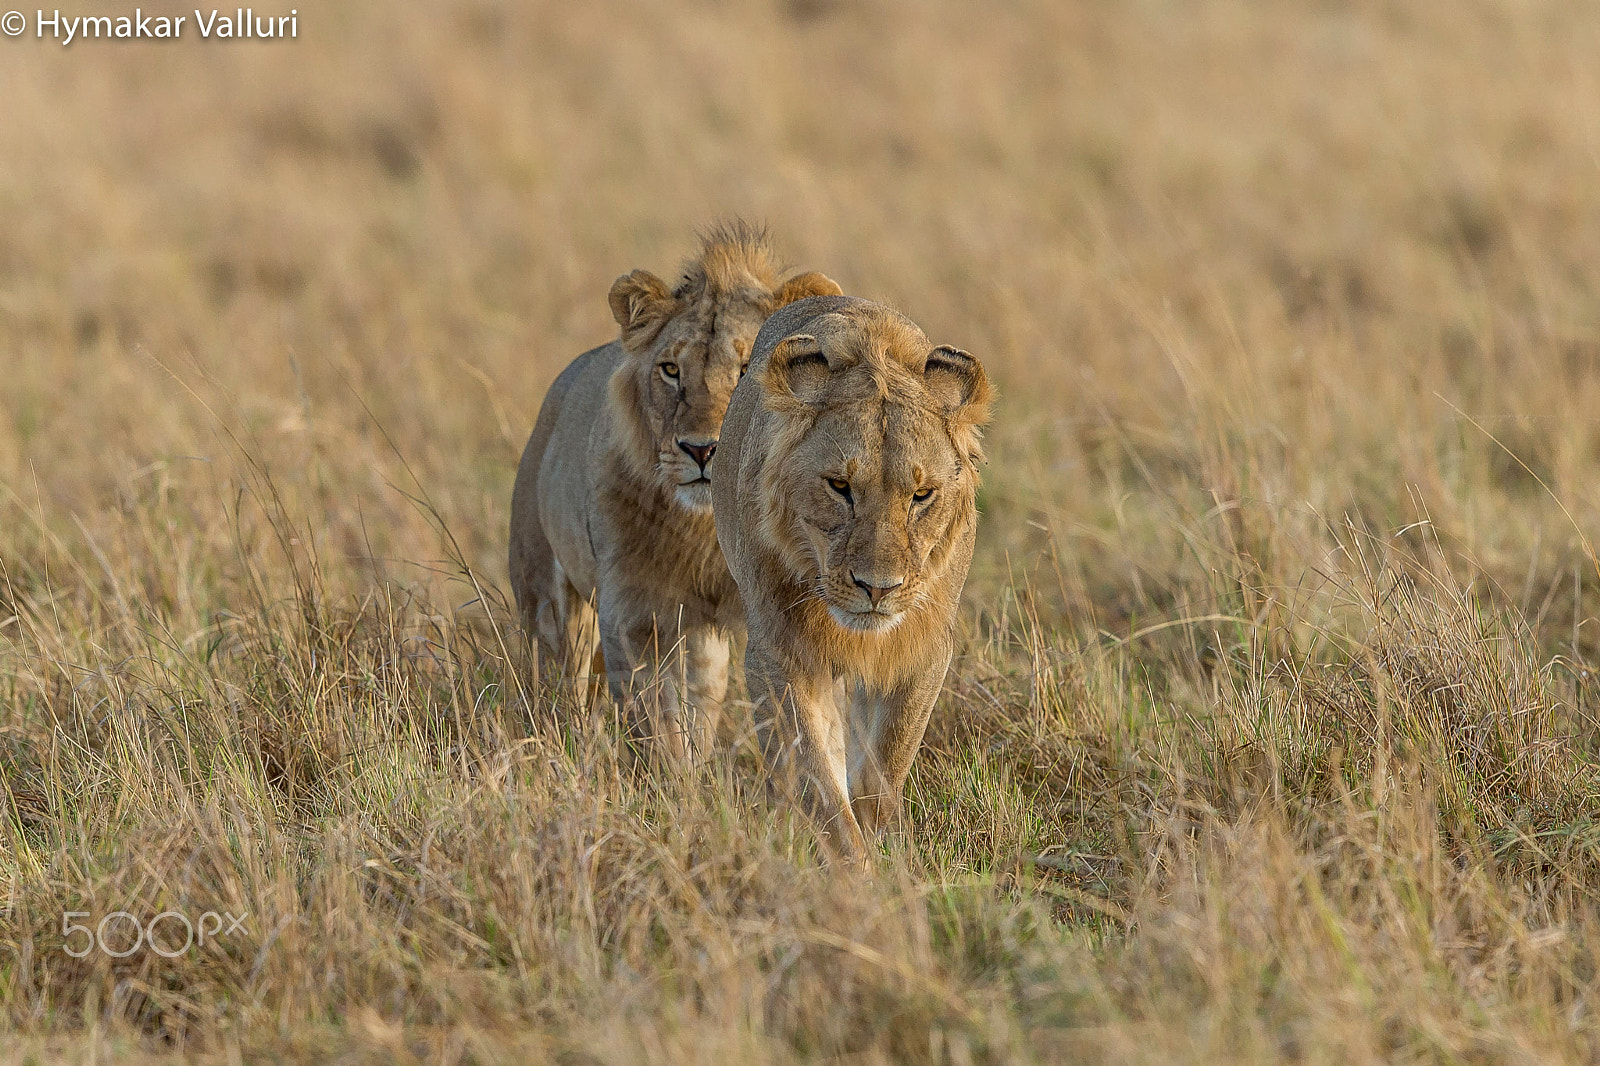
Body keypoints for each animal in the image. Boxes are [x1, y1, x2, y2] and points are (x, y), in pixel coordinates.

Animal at [512, 222, 844, 755]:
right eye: (671, 370)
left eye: (747, 370)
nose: (701, 450)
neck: (707, 531)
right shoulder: (634, 615)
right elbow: (657, 723)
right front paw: (672, 773)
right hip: (546, 594)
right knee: (561, 677)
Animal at [716, 292, 992, 857]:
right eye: (839, 486)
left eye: (922, 495)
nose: (877, 589)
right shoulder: (779, 654)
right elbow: (819, 782)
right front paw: (855, 866)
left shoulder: (921, 648)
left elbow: (883, 769)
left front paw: (882, 844)